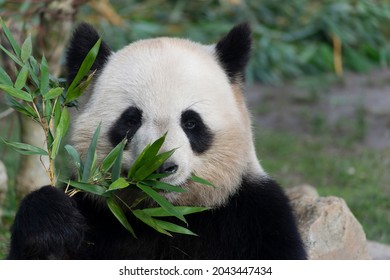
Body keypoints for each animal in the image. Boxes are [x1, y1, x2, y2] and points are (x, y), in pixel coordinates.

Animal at [6, 23, 308, 260]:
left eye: (191, 122)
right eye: (131, 120)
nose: (160, 168)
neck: (165, 213)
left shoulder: (252, 217)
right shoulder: (97, 211)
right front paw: (52, 219)